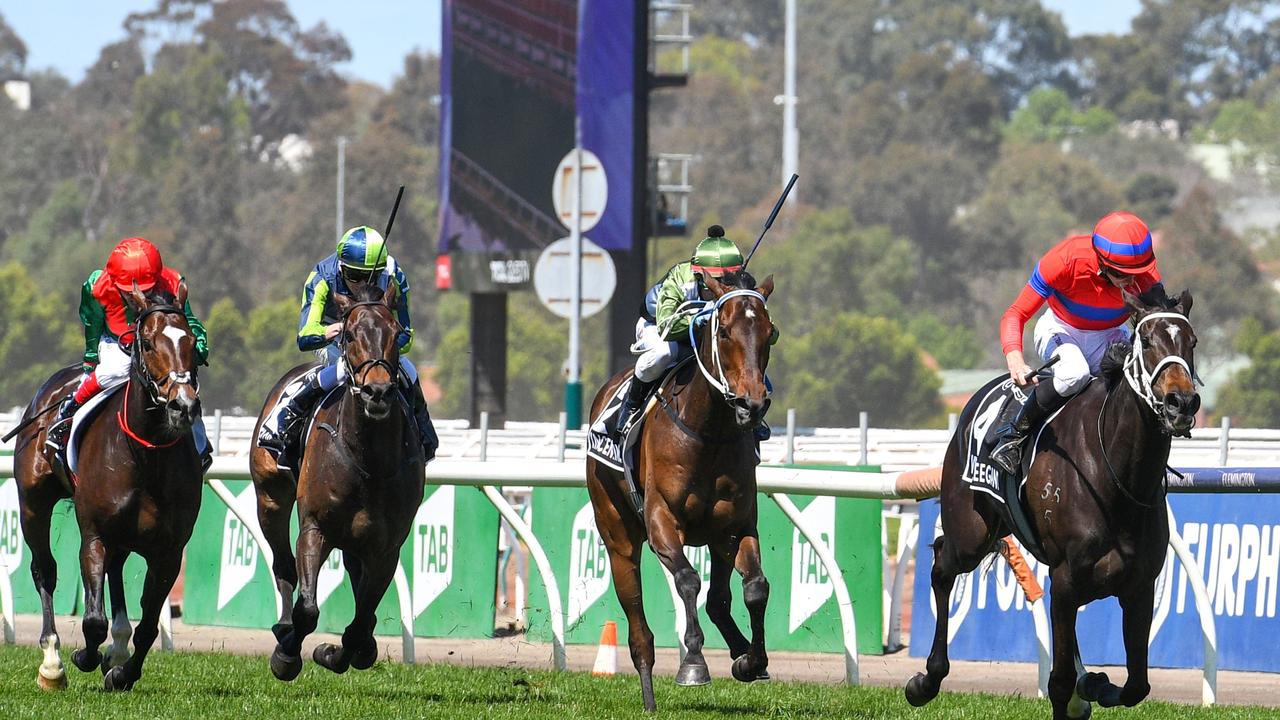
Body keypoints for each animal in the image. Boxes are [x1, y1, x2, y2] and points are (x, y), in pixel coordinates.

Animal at [12, 281, 202, 691]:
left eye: (192, 341)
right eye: (147, 343)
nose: (183, 406)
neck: (145, 455)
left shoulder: (169, 550)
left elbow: (148, 626)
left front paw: (122, 671)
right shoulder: (95, 533)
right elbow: (92, 620)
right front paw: (83, 656)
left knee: (116, 571)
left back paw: (116, 649)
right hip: (33, 501)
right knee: (44, 569)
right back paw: (52, 663)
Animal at [249, 279, 424, 676]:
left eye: (396, 332)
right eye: (349, 335)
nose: (378, 391)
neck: (369, 460)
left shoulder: (387, 545)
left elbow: (361, 622)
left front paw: (335, 653)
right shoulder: (315, 526)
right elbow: (308, 609)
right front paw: (287, 656)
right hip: (270, 498)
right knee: (283, 565)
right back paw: (283, 628)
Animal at [586, 271, 773, 707]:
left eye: (770, 333)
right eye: (723, 331)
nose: (752, 404)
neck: (709, 433)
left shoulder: (736, 527)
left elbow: (756, 587)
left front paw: (752, 660)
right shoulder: (661, 522)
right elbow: (688, 580)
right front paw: (693, 663)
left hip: (716, 540)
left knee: (720, 601)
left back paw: (741, 652)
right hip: (618, 538)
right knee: (639, 629)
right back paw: (649, 697)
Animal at [911, 288, 1198, 712]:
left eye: (1191, 343)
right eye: (1146, 342)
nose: (1181, 402)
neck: (1115, 475)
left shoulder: (1139, 586)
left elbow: (1137, 685)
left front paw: (1095, 684)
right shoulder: (1064, 580)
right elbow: (1059, 681)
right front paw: (1081, 687)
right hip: (970, 533)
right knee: (943, 565)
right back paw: (927, 680)